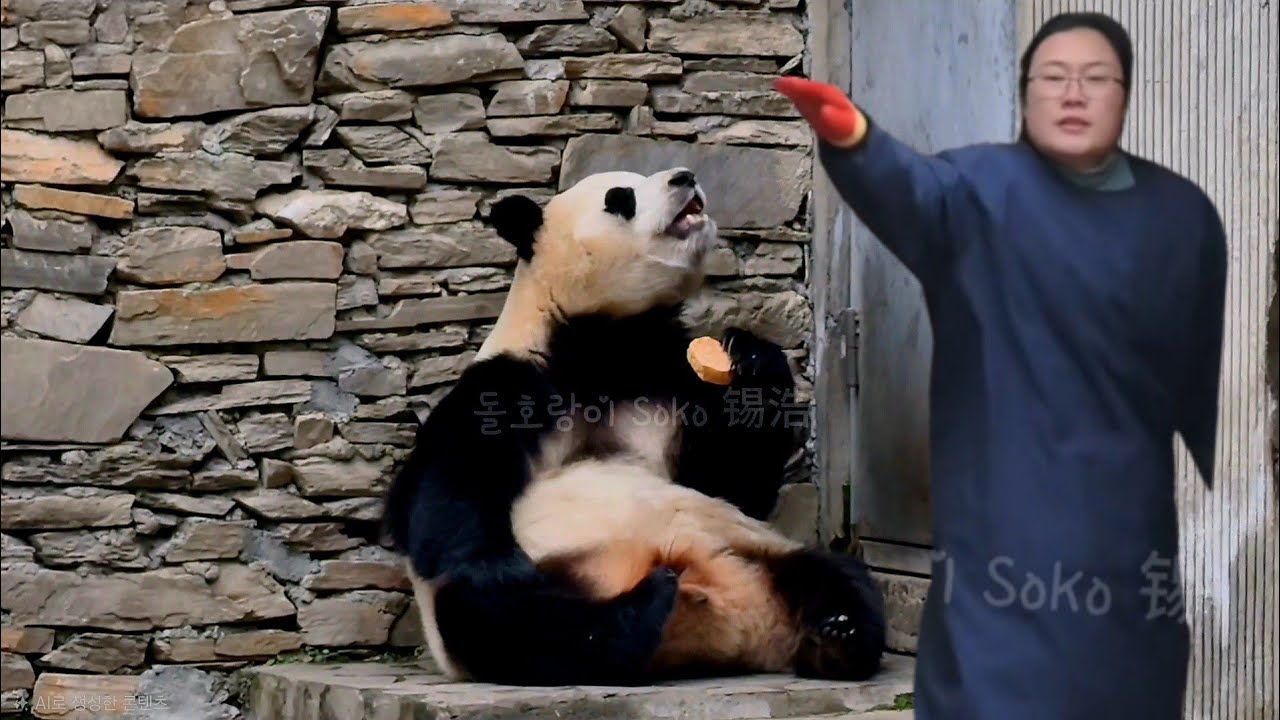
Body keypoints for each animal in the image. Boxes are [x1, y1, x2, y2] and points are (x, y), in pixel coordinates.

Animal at [381, 166, 886, 687]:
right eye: (620, 198)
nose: (685, 177)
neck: (608, 341)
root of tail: (734, 621)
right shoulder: (513, 383)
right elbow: (444, 492)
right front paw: (492, 561)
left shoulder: (668, 382)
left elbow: (731, 482)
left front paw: (752, 359)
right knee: (506, 621)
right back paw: (637, 610)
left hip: (754, 548)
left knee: (838, 575)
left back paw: (839, 634)